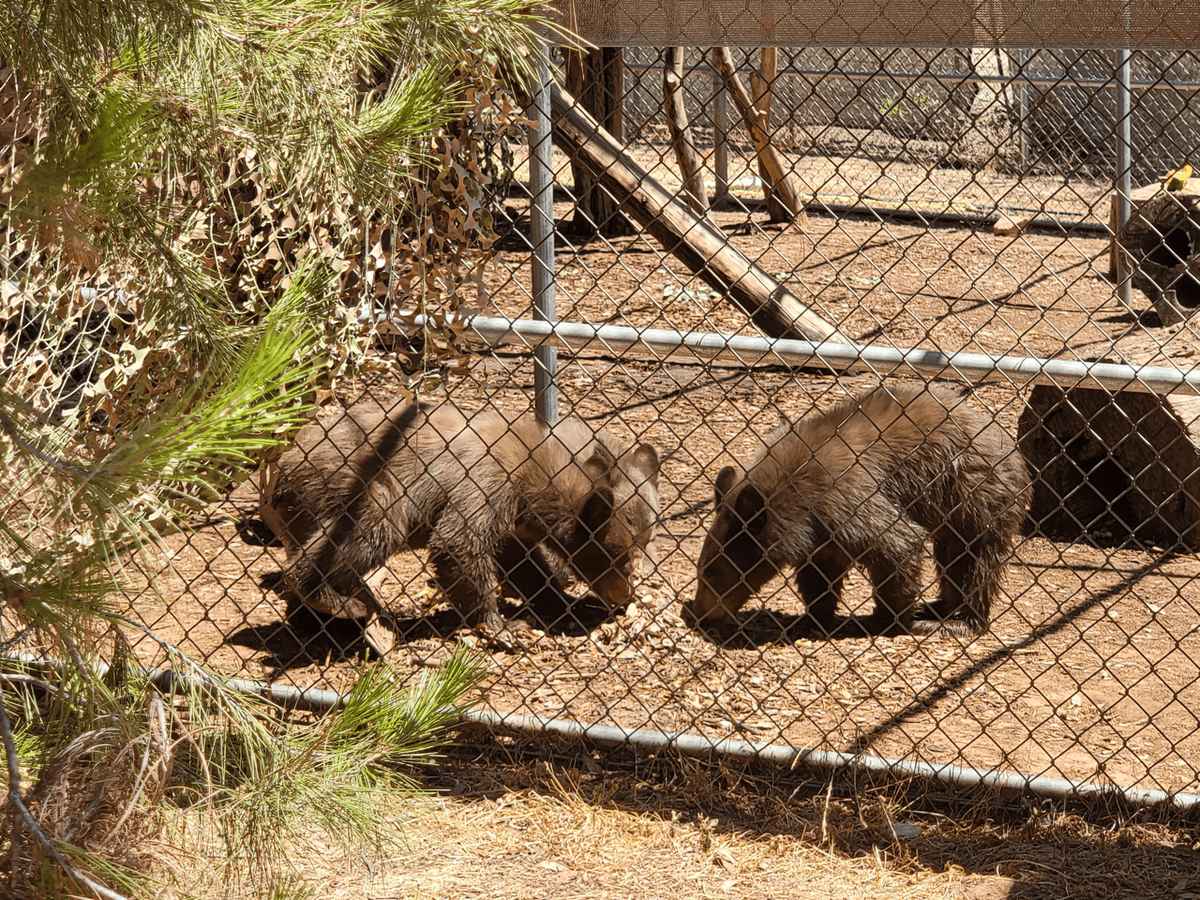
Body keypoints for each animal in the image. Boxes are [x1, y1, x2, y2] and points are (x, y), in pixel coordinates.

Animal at [260, 396, 661, 633]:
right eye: (617, 554)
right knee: (367, 529)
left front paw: (565, 603)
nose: (624, 596)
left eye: (642, 545)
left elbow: (522, 563)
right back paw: (338, 602)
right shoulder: (485, 479)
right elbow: (457, 541)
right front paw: (501, 624)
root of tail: (284, 465)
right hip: (357, 485)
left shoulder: (515, 519)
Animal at [690, 384, 1029, 638]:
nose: (699, 616)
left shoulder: (846, 497)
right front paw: (811, 618)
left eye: (711, 571)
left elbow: (897, 543)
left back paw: (955, 619)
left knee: (976, 559)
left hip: (974, 493)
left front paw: (886, 618)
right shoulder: (820, 531)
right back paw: (939, 605)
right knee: (951, 558)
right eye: (701, 568)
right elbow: (819, 573)